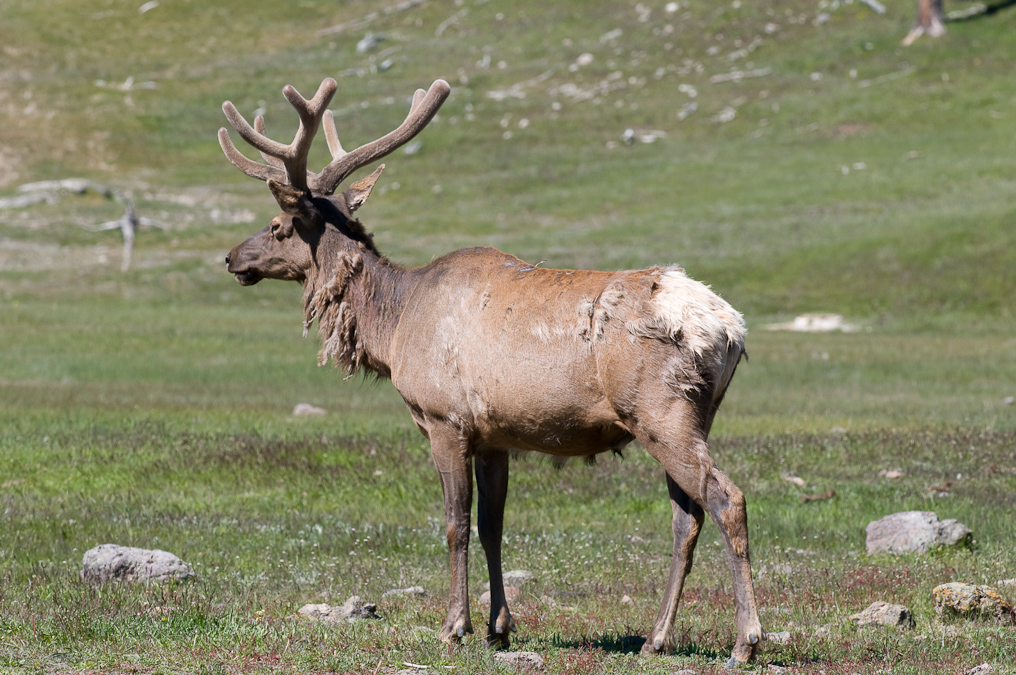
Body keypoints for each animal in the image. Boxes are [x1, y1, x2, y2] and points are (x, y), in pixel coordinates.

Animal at [219, 76, 764, 667]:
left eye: (277, 227)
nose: (230, 257)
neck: (394, 325)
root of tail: (731, 329)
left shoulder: (445, 419)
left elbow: (456, 524)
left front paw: (453, 626)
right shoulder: (496, 434)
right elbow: (492, 526)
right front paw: (498, 627)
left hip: (660, 410)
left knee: (726, 499)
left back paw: (746, 641)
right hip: (691, 415)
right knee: (686, 517)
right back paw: (655, 638)